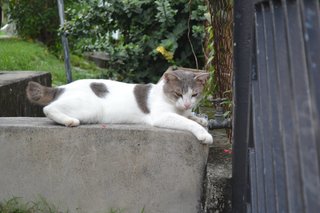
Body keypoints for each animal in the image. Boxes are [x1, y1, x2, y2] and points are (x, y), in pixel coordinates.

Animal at [26, 69, 214, 144]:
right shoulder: (162, 116)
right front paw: (204, 134)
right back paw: (69, 121)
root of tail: (61, 87)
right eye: (178, 94)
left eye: (194, 94)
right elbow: (188, 122)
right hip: (91, 108)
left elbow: (191, 117)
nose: (188, 103)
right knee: (48, 108)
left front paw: (201, 119)